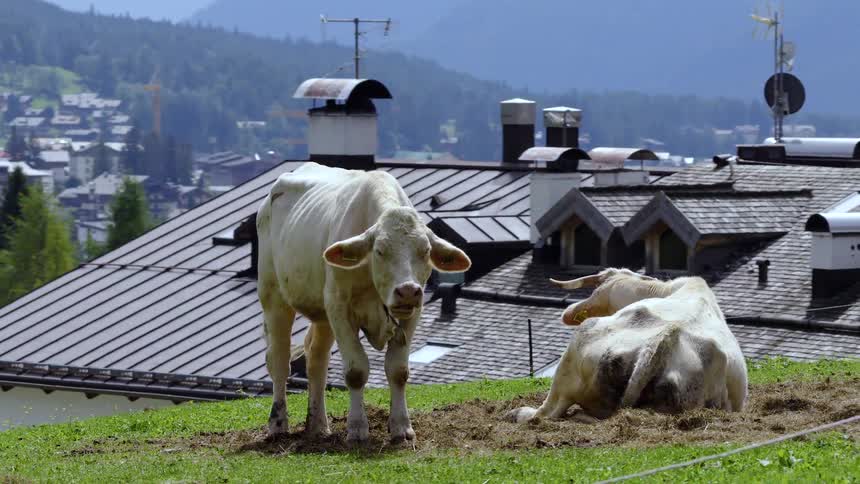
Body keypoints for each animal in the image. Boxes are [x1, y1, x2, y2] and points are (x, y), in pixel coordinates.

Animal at [256, 162, 471, 443]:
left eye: (425, 251)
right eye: (379, 250)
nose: (408, 291)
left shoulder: (411, 315)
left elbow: (398, 370)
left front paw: (402, 427)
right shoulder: (340, 308)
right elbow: (356, 371)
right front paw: (357, 428)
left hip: (323, 314)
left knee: (316, 360)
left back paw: (318, 425)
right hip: (274, 296)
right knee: (279, 360)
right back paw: (278, 424)